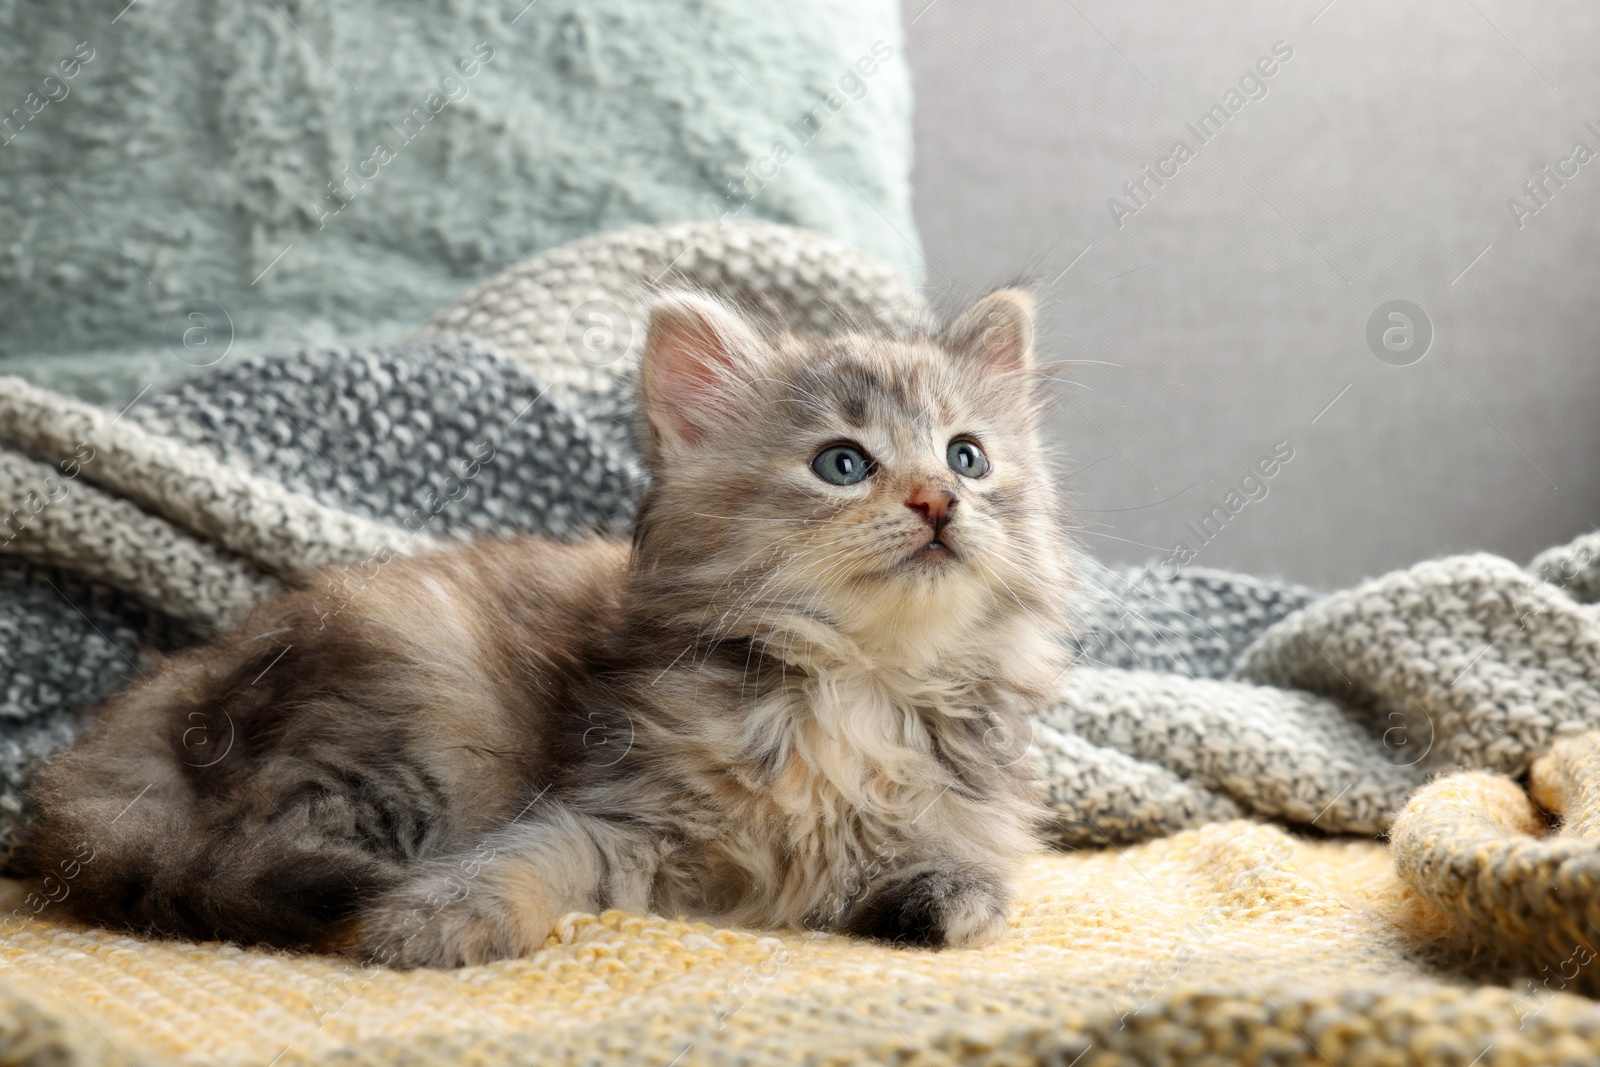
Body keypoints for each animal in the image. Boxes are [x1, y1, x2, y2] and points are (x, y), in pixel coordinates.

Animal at [18, 289, 1068, 966]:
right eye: (843, 464)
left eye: (967, 456)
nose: (938, 501)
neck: (860, 678)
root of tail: (165, 701)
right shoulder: (617, 813)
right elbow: (529, 859)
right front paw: (437, 920)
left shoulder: (970, 820)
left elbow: (973, 882)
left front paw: (930, 904)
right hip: (412, 717)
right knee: (250, 849)